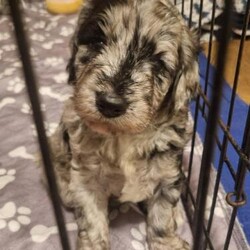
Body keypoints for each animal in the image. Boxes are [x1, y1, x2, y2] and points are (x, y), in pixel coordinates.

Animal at [50, 0, 199, 248]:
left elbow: (162, 215)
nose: (110, 103)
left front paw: (167, 242)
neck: (124, 136)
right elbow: (92, 221)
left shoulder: (167, 174)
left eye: (157, 61)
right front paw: (92, 244)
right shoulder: (87, 180)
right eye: (98, 42)